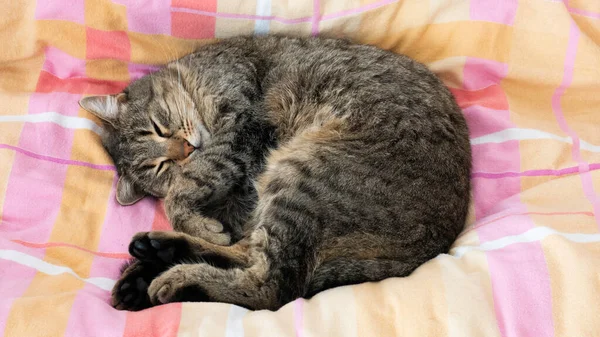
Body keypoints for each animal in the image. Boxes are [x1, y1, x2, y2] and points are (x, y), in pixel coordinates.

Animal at [81, 34, 474, 310]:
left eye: (157, 129)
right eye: (161, 167)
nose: (186, 151)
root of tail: (434, 244)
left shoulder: (240, 126)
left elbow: (184, 195)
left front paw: (196, 220)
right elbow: (216, 214)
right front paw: (203, 223)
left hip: (303, 175)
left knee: (272, 287)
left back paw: (172, 276)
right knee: (256, 259)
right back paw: (153, 260)